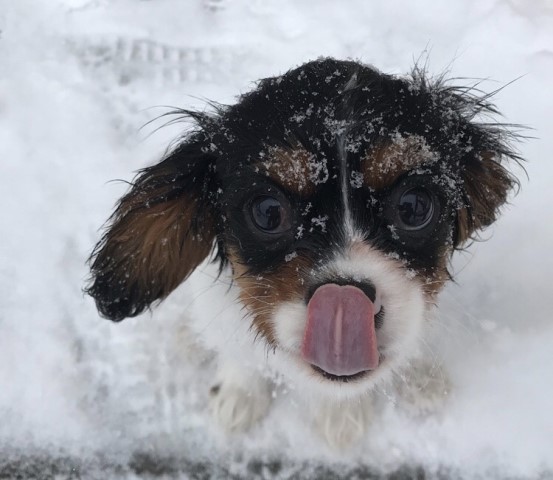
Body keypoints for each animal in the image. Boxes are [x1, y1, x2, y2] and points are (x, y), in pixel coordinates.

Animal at [87, 58, 520, 448]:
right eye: (268, 212)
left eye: (414, 207)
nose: (345, 303)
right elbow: (240, 353)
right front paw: (239, 396)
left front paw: (356, 409)